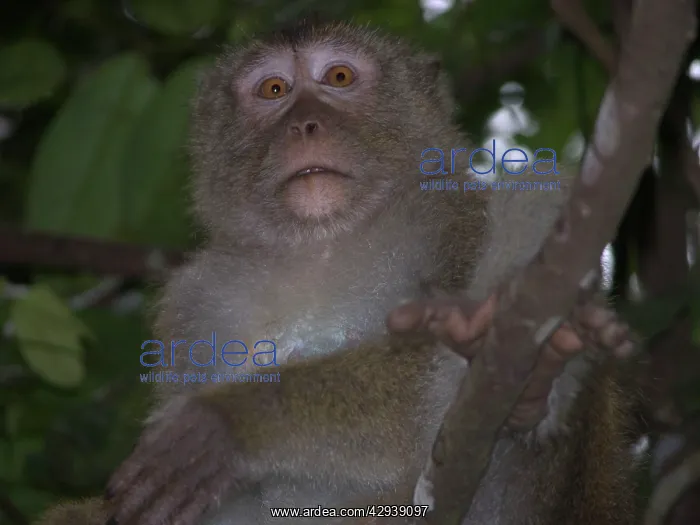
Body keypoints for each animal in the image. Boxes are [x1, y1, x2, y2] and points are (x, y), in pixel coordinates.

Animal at [33, 19, 642, 525]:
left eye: (340, 78)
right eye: (273, 90)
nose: (306, 124)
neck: (322, 248)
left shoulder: (457, 219)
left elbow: (414, 382)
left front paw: (234, 420)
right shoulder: (192, 303)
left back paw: (536, 380)